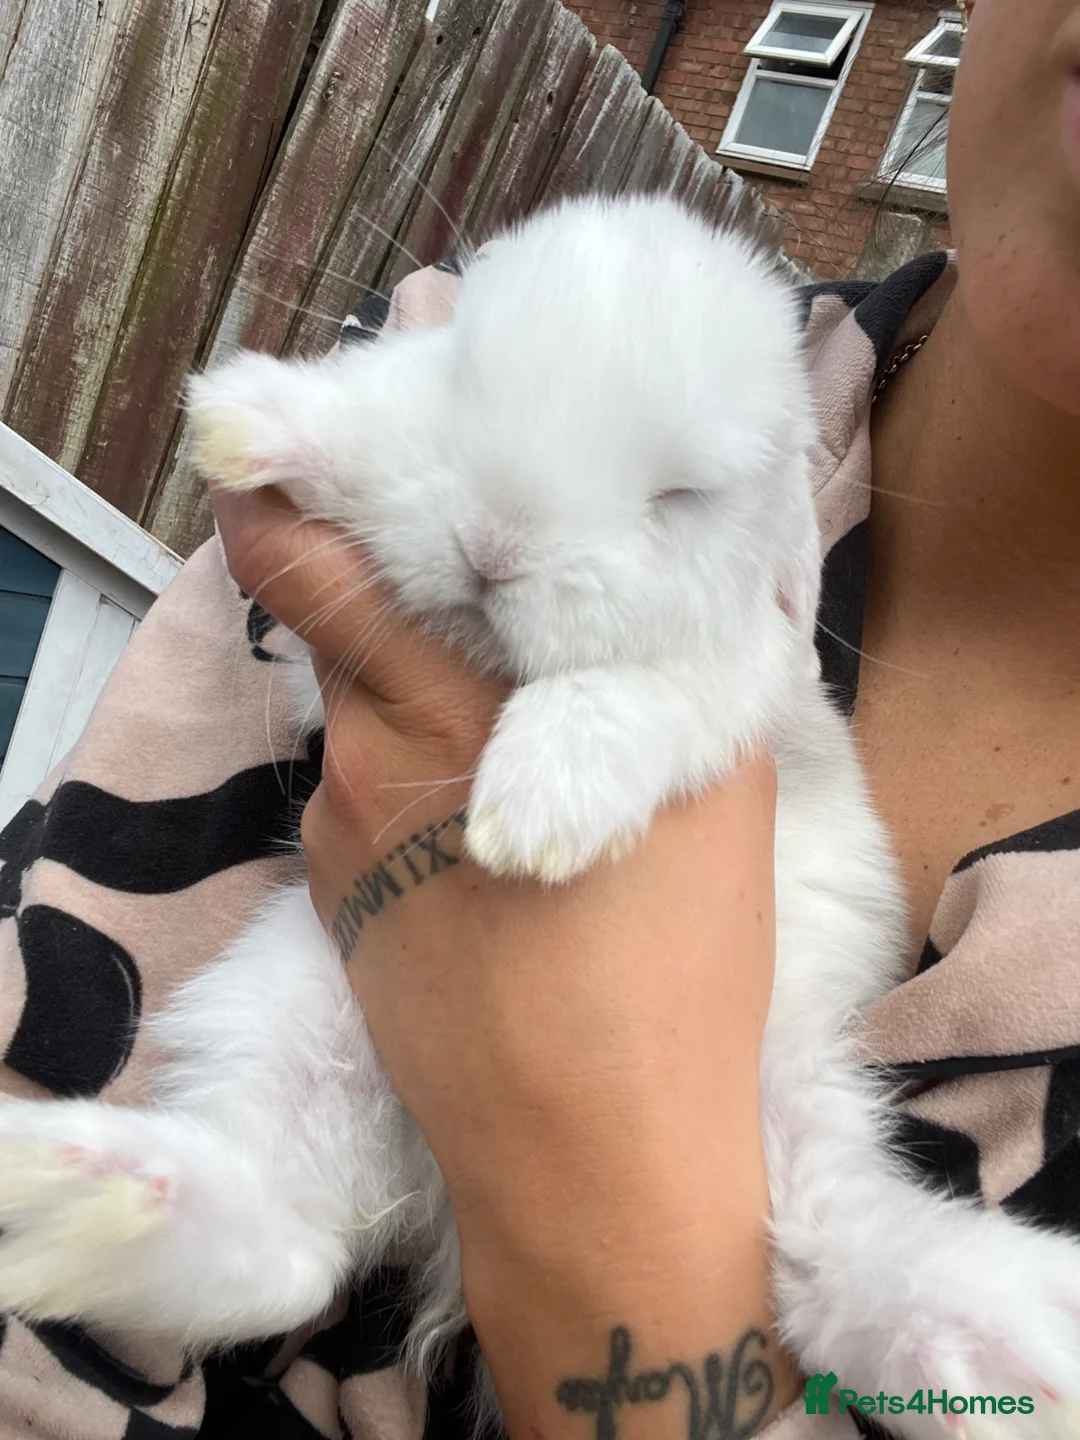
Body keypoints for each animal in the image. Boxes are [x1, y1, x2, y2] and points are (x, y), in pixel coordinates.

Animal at [1, 195, 1079, 1438]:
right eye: (465, 372)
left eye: (679, 498)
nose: (495, 545)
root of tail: (439, 1206)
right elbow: (362, 432)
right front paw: (252, 416)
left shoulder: (725, 692)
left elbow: (628, 697)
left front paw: (531, 811)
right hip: (297, 1007)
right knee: (287, 1241)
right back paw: (59, 1201)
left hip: (781, 1114)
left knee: (831, 1262)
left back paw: (1017, 1361)